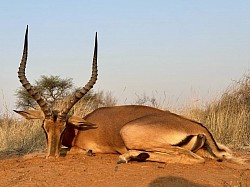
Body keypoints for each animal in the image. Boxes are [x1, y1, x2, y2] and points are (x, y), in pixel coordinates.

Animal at [15, 25, 240, 164]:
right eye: (44, 127)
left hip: (132, 135)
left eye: (63, 128)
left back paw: (129, 157)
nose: (51, 157)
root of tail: (198, 128)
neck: (82, 128)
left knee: (192, 158)